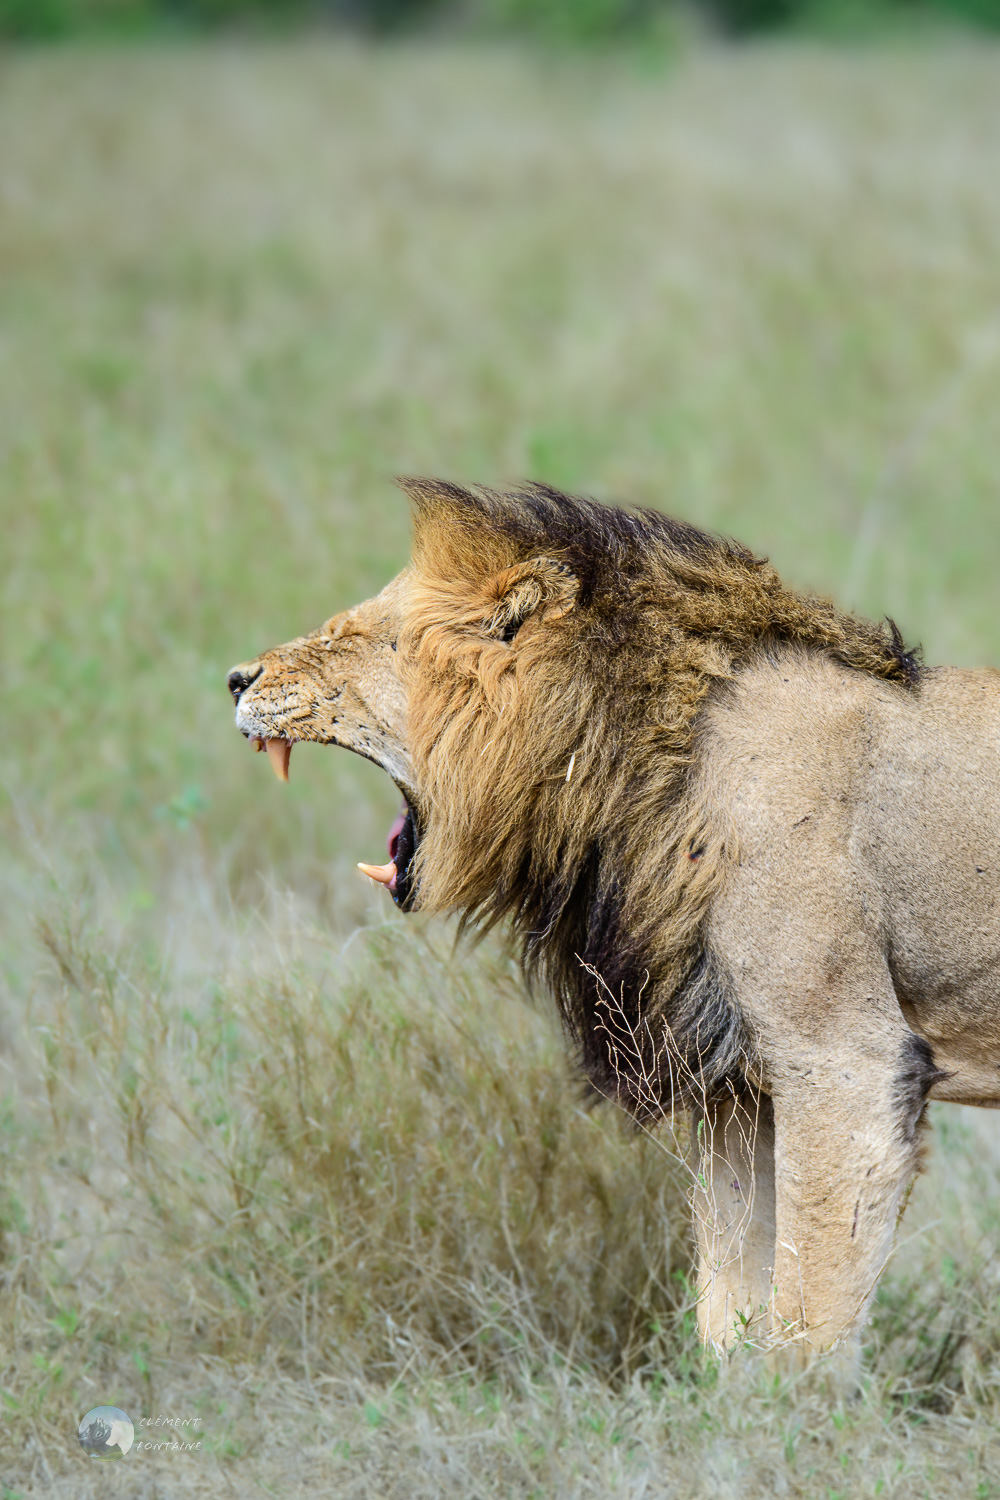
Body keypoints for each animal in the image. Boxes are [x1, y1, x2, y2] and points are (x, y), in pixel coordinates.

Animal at [226, 477, 1000, 1362]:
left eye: (353, 636)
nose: (234, 679)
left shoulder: (846, 1064)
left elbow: (805, 1326)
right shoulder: (739, 1088)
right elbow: (730, 1308)